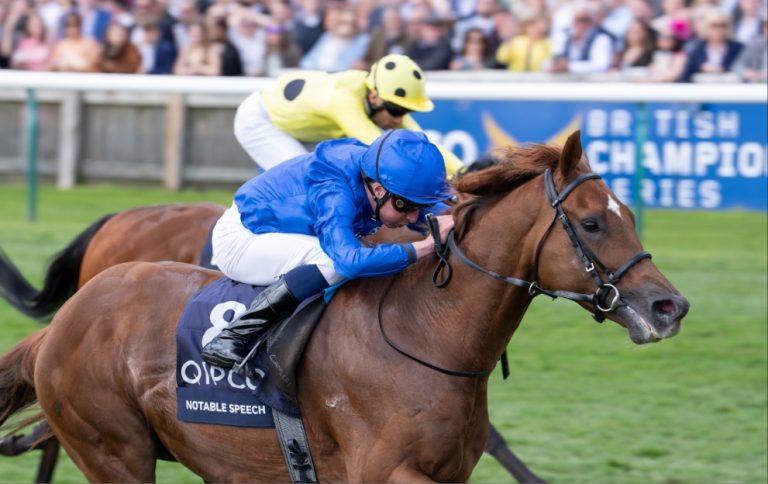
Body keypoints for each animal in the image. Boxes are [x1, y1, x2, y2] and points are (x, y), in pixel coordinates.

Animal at [0, 131, 688, 480]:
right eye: (593, 223)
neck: (426, 333)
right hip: (115, 450)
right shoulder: (384, 473)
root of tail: (63, 323)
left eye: (626, 215)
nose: (669, 306)